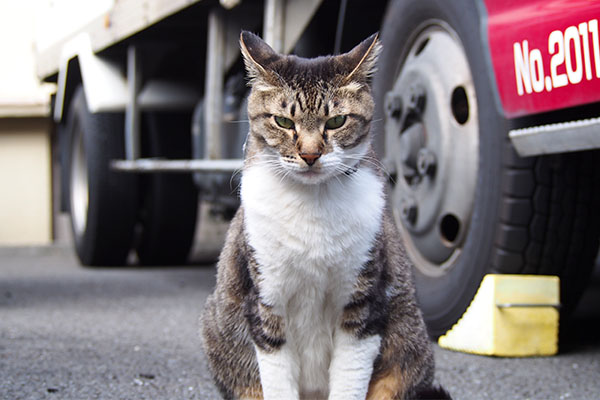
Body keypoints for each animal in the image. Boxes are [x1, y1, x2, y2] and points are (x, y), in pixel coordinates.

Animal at [202, 31, 450, 400]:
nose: (309, 154)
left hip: (408, 349)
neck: (311, 203)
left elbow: (350, 378)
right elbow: (277, 379)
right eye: (283, 121)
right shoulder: (266, 301)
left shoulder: (363, 304)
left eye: (336, 121)